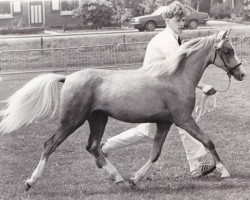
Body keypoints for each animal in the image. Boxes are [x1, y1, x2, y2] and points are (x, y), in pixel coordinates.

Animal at [0, 29, 245, 191]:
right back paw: (30, 181)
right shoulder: (183, 119)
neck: (176, 77)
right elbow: (208, 141)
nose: (241, 74)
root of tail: (67, 77)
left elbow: (155, 153)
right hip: (71, 120)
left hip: (98, 119)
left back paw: (117, 177)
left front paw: (134, 179)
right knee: (50, 144)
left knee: (93, 146)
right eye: (227, 50)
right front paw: (224, 171)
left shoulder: (165, 122)